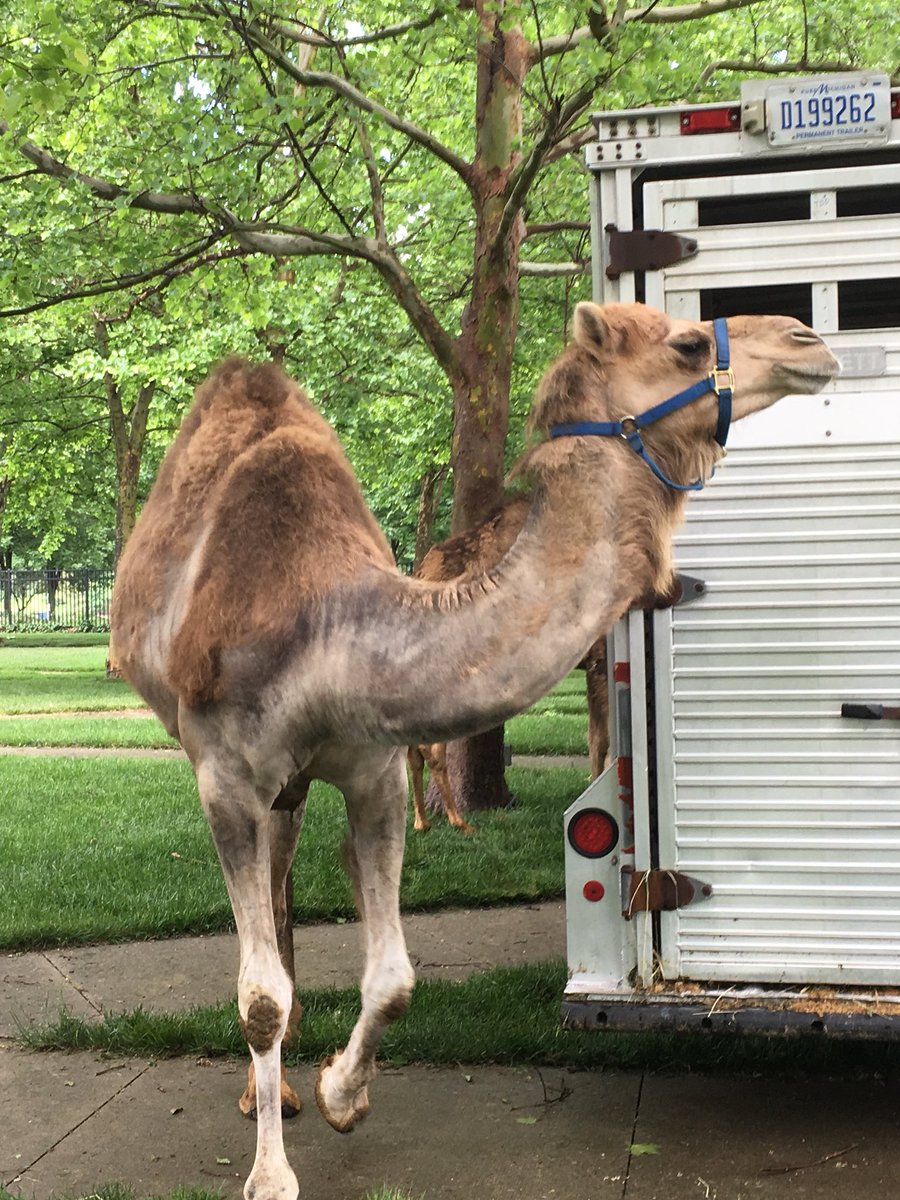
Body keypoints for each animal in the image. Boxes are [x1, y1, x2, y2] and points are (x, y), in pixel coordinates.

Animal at [109, 302, 838, 1200]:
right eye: (689, 343)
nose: (811, 340)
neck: (329, 633)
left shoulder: (374, 769)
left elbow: (394, 978)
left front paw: (341, 1094)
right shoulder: (226, 777)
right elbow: (259, 998)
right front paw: (272, 1175)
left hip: (297, 785)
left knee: (292, 882)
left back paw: (280, 1085)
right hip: (235, 772)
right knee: (270, 919)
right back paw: (261, 1092)